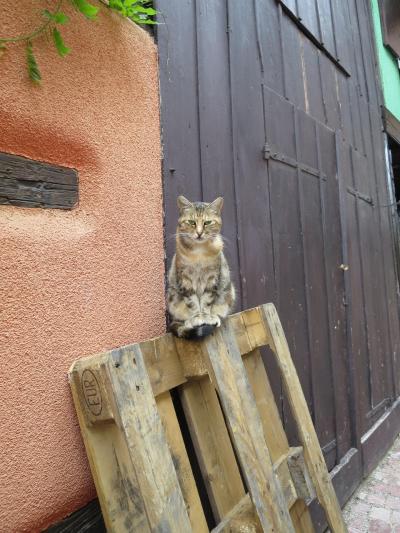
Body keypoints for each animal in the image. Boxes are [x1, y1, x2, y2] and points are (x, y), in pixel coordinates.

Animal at [167, 194, 236, 336]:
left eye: (207, 222)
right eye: (191, 222)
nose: (199, 233)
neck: (199, 253)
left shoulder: (212, 277)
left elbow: (206, 300)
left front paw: (206, 317)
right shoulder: (185, 278)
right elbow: (192, 302)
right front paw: (196, 318)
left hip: (228, 293)